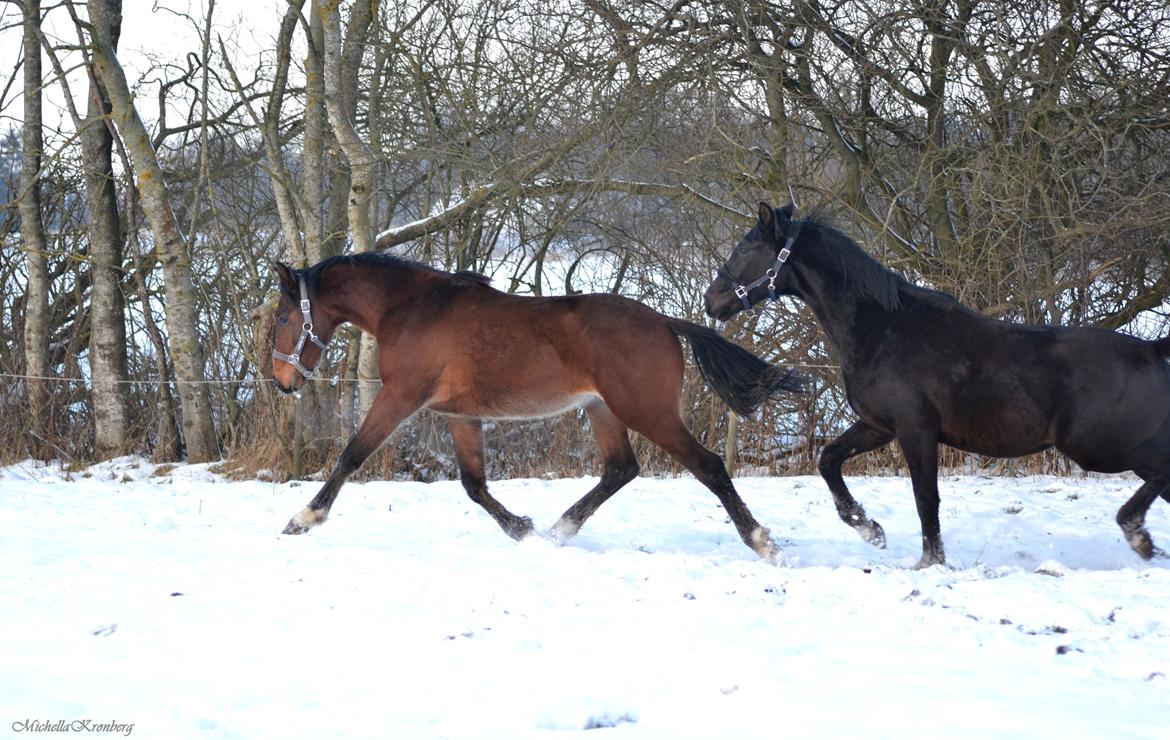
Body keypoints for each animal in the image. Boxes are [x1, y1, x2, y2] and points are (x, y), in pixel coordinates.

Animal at [272, 254, 804, 559]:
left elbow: (351, 455)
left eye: (280, 317)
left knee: (709, 466)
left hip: (648, 413)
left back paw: (765, 545)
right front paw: (522, 530)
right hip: (603, 410)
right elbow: (474, 485)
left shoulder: (400, 396)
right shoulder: (458, 414)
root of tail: (665, 322)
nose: (282, 381)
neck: (411, 308)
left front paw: (302, 519)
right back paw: (556, 532)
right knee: (620, 469)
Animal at [702, 202, 1170, 566]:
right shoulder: (880, 426)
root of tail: (1150, 349)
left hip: (1099, 448)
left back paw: (1139, 537)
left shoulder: (915, 431)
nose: (711, 301)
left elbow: (925, 499)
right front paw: (869, 528)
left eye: (744, 248)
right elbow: (828, 459)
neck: (881, 328)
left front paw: (929, 562)